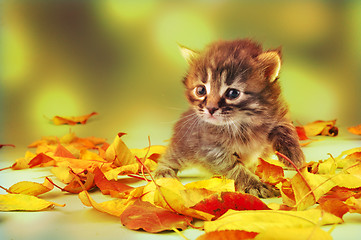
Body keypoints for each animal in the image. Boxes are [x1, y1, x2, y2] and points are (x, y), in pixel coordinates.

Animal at [155, 38, 304, 198]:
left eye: (233, 93)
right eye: (201, 90)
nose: (211, 109)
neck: (243, 123)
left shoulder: (279, 113)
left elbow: (286, 129)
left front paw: (293, 155)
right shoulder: (212, 148)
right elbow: (234, 168)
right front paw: (255, 185)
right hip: (183, 147)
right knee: (168, 157)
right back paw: (164, 173)